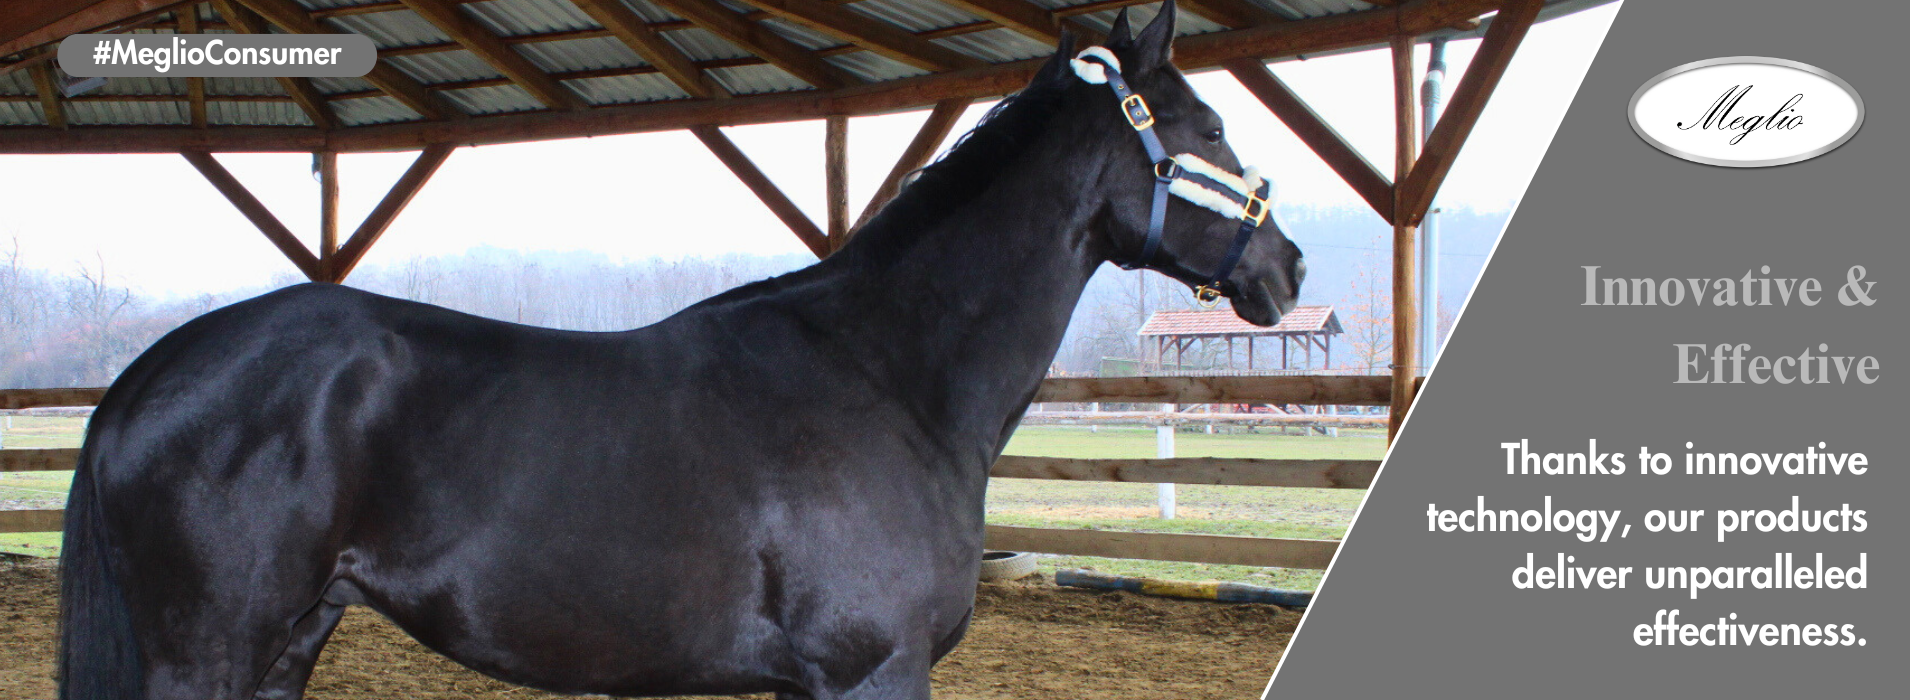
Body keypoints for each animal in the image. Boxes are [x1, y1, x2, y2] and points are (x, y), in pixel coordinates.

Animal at [58, 4, 1303, 698]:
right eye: (1203, 129)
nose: (1282, 266)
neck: (883, 375)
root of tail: (143, 378)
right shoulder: (871, 669)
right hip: (212, 652)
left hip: (289, 641)